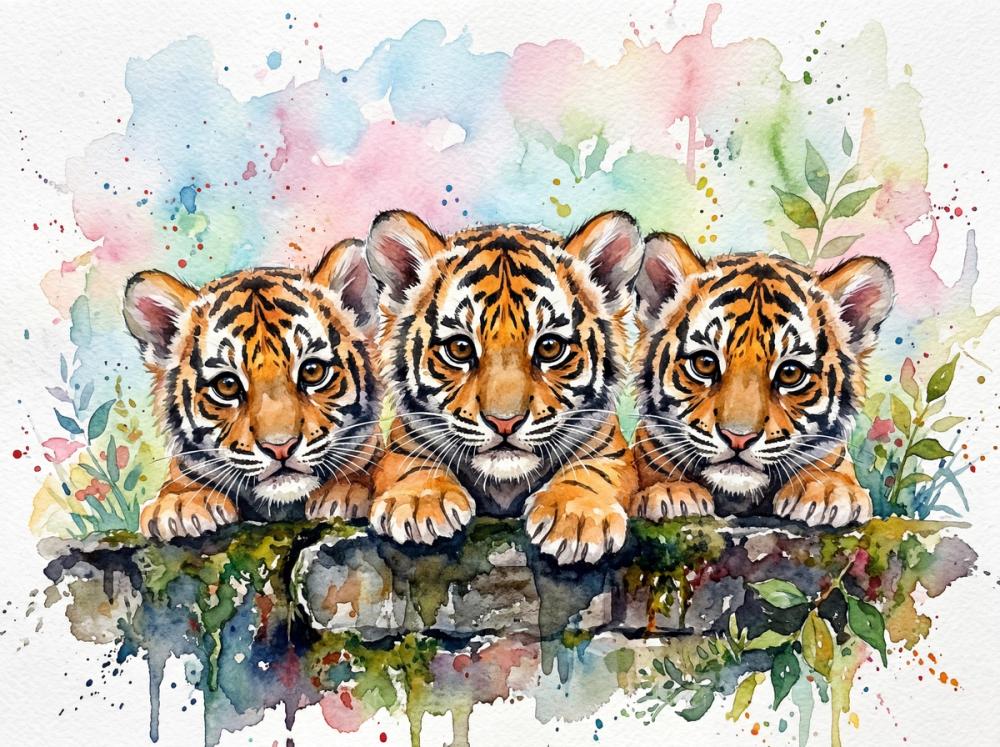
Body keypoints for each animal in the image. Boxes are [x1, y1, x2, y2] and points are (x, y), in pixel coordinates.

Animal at [364, 210, 644, 564]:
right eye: (459, 349)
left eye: (550, 347)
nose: (504, 422)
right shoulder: (402, 445)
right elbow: (409, 464)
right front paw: (417, 502)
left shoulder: (612, 451)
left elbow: (595, 471)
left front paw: (577, 519)